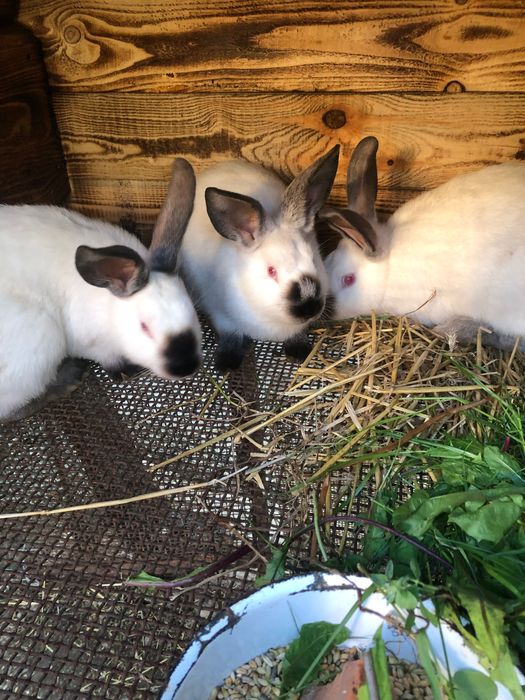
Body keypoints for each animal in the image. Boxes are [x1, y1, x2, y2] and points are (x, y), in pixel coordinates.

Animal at [0, 158, 202, 422]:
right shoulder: (91, 344)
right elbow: (109, 361)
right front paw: (124, 371)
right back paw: (70, 377)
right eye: (144, 327)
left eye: (193, 313)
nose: (185, 367)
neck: (111, 312)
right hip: (39, 343)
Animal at [179, 146, 340, 371]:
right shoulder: (220, 314)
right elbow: (231, 336)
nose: (309, 307)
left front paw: (299, 351)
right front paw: (226, 363)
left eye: (314, 260)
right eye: (271, 271)